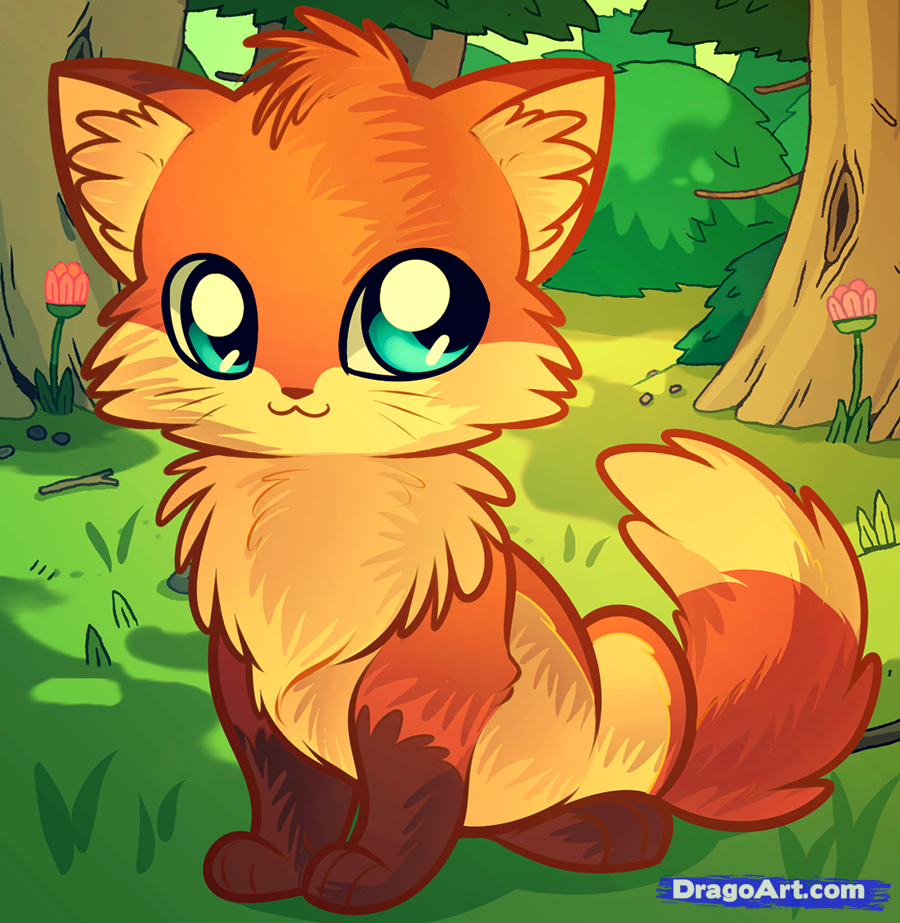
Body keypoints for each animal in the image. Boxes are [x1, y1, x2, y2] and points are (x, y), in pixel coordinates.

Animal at [48, 7, 880, 914]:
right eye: (212, 313)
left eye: (418, 317)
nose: (297, 388)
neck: (319, 521)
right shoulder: (250, 688)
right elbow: (286, 792)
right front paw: (272, 863)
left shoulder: (427, 696)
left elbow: (408, 798)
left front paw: (368, 877)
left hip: (631, 654)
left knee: (612, 802)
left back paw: (606, 825)